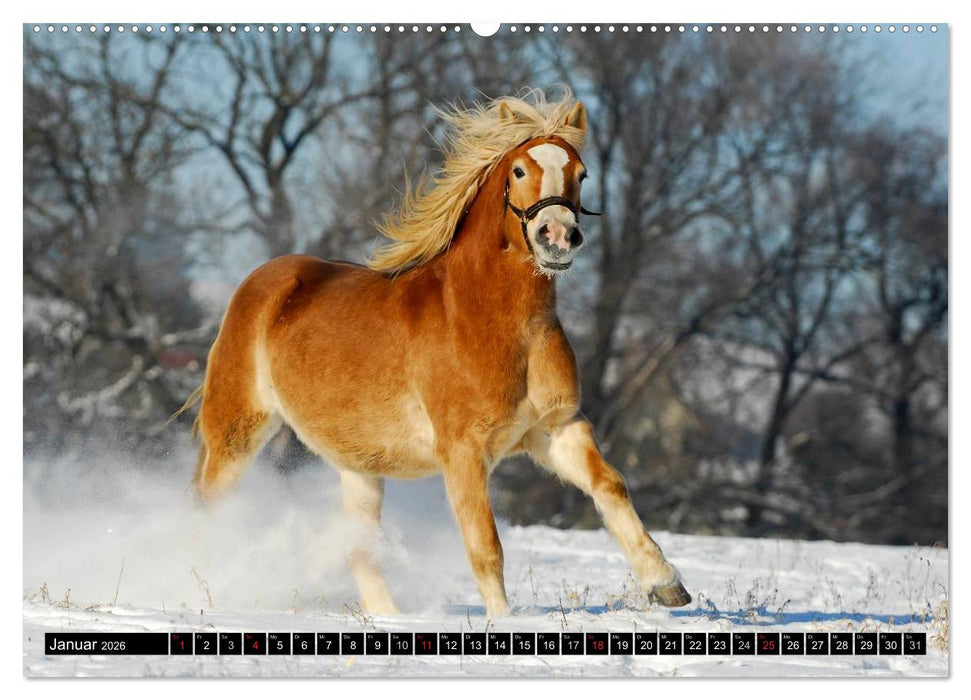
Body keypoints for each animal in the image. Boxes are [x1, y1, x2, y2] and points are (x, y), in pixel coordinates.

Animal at [186, 93, 691, 617]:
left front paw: (666, 585)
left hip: (359, 467)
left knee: (361, 550)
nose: (557, 236)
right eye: (518, 170)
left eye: (582, 172)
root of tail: (261, 282)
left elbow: (609, 485)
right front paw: (502, 623)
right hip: (237, 431)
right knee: (206, 507)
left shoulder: (557, 429)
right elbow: (485, 547)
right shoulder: (463, 452)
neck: (498, 324)